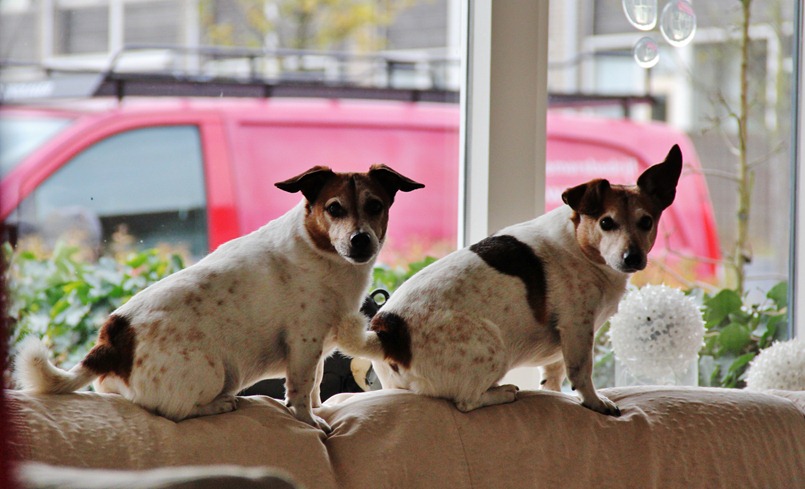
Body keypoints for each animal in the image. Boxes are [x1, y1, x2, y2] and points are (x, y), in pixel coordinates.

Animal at [15, 164, 424, 431]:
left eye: (375, 205)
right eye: (334, 208)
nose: (360, 241)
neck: (320, 250)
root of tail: (111, 341)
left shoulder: (317, 347)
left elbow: (317, 383)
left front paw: (320, 408)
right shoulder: (304, 344)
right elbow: (300, 390)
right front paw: (309, 420)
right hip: (214, 371)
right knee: (176, 412)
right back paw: (221, 404)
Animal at [338, 145, 682, 416]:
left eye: (646, 222)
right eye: (606, 223)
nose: (632, 257)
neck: (581, 244)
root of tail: (389, 333)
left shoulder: (564, 340)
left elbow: (554, 374)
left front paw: (554, 392)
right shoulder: (577, 328)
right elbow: (581, 373)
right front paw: (596, 402)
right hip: (494, 346)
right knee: (467, 401)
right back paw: (501, 393)